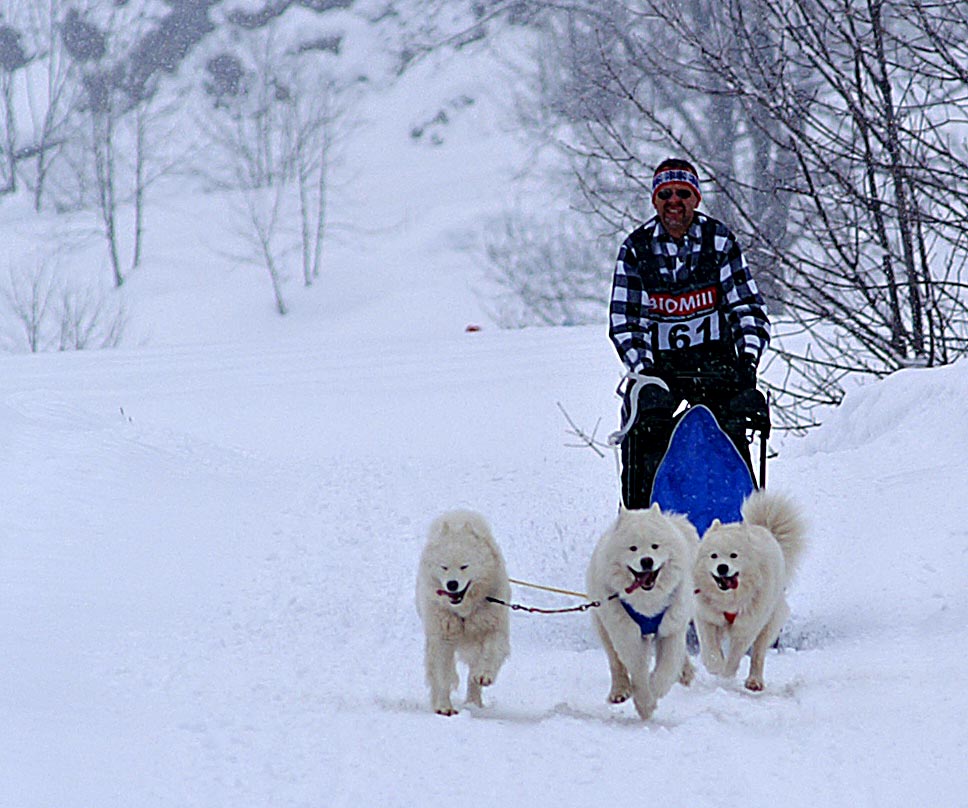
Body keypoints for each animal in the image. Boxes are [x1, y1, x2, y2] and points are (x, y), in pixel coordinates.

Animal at [414, 508, 510, 716]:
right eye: (444, 567)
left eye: (464, 566)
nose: (452, 584)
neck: (465, 610)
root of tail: (457, 513)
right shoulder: (443, 635)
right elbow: (442, 673)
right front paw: (444, 707)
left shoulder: (493, 626)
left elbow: (492, 651)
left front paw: (483, 675)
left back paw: (474, 702)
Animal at [584, 504, 696, 720]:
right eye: (633, 548)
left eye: (655, 546)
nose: (646, 561)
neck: (648, 604)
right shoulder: (627, 634)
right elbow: (638, 670)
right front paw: (645, 703)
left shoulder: (671, 629)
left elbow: (667, 666)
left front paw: (656, 688)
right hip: (604, 627)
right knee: (615, 662)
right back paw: (619, 691)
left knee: (681, 654)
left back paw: (685, 673)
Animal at [692, 490, 804, 692]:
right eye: (713, 555)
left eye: (734, 555)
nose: (722, 567)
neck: (729, 600)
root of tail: (766, 530)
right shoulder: (706, 616)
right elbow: (710, 647)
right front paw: (715, 666)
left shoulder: (747, 626)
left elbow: (735, 657)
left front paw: (725, 676)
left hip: (769, 624)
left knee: (758, 654)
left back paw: (754, 681)